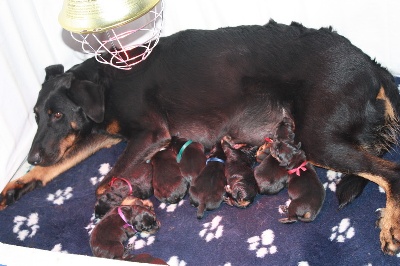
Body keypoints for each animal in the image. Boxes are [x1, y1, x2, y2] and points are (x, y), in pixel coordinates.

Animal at [0, 20, 400, 254]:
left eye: (57, 115)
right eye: (36, 115)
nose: (31, 157)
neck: (106, 83)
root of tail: (370, 64)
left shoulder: (150, 132)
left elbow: (102, 183)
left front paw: (121, 203)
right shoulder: (105, 132)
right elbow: (61, 161)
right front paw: (19, 183)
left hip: (317, 138)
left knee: (390, 173)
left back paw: (391, 226)